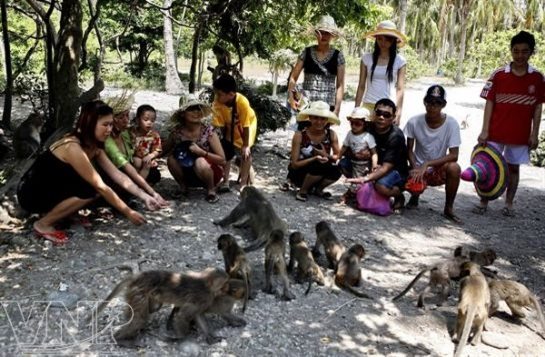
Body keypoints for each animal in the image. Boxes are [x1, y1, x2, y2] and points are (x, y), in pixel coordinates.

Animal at [93, 268, 227, 344]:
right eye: (224, 284)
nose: (226, 289)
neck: (207, 285)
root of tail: (138, 277)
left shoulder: (203, 300)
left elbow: (197, 315)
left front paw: (209, 335)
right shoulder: (203, 297)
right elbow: (182, 316)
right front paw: (179, 337)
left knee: (151, 308)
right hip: (139, 291)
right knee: (139, 319)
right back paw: (118, 339)